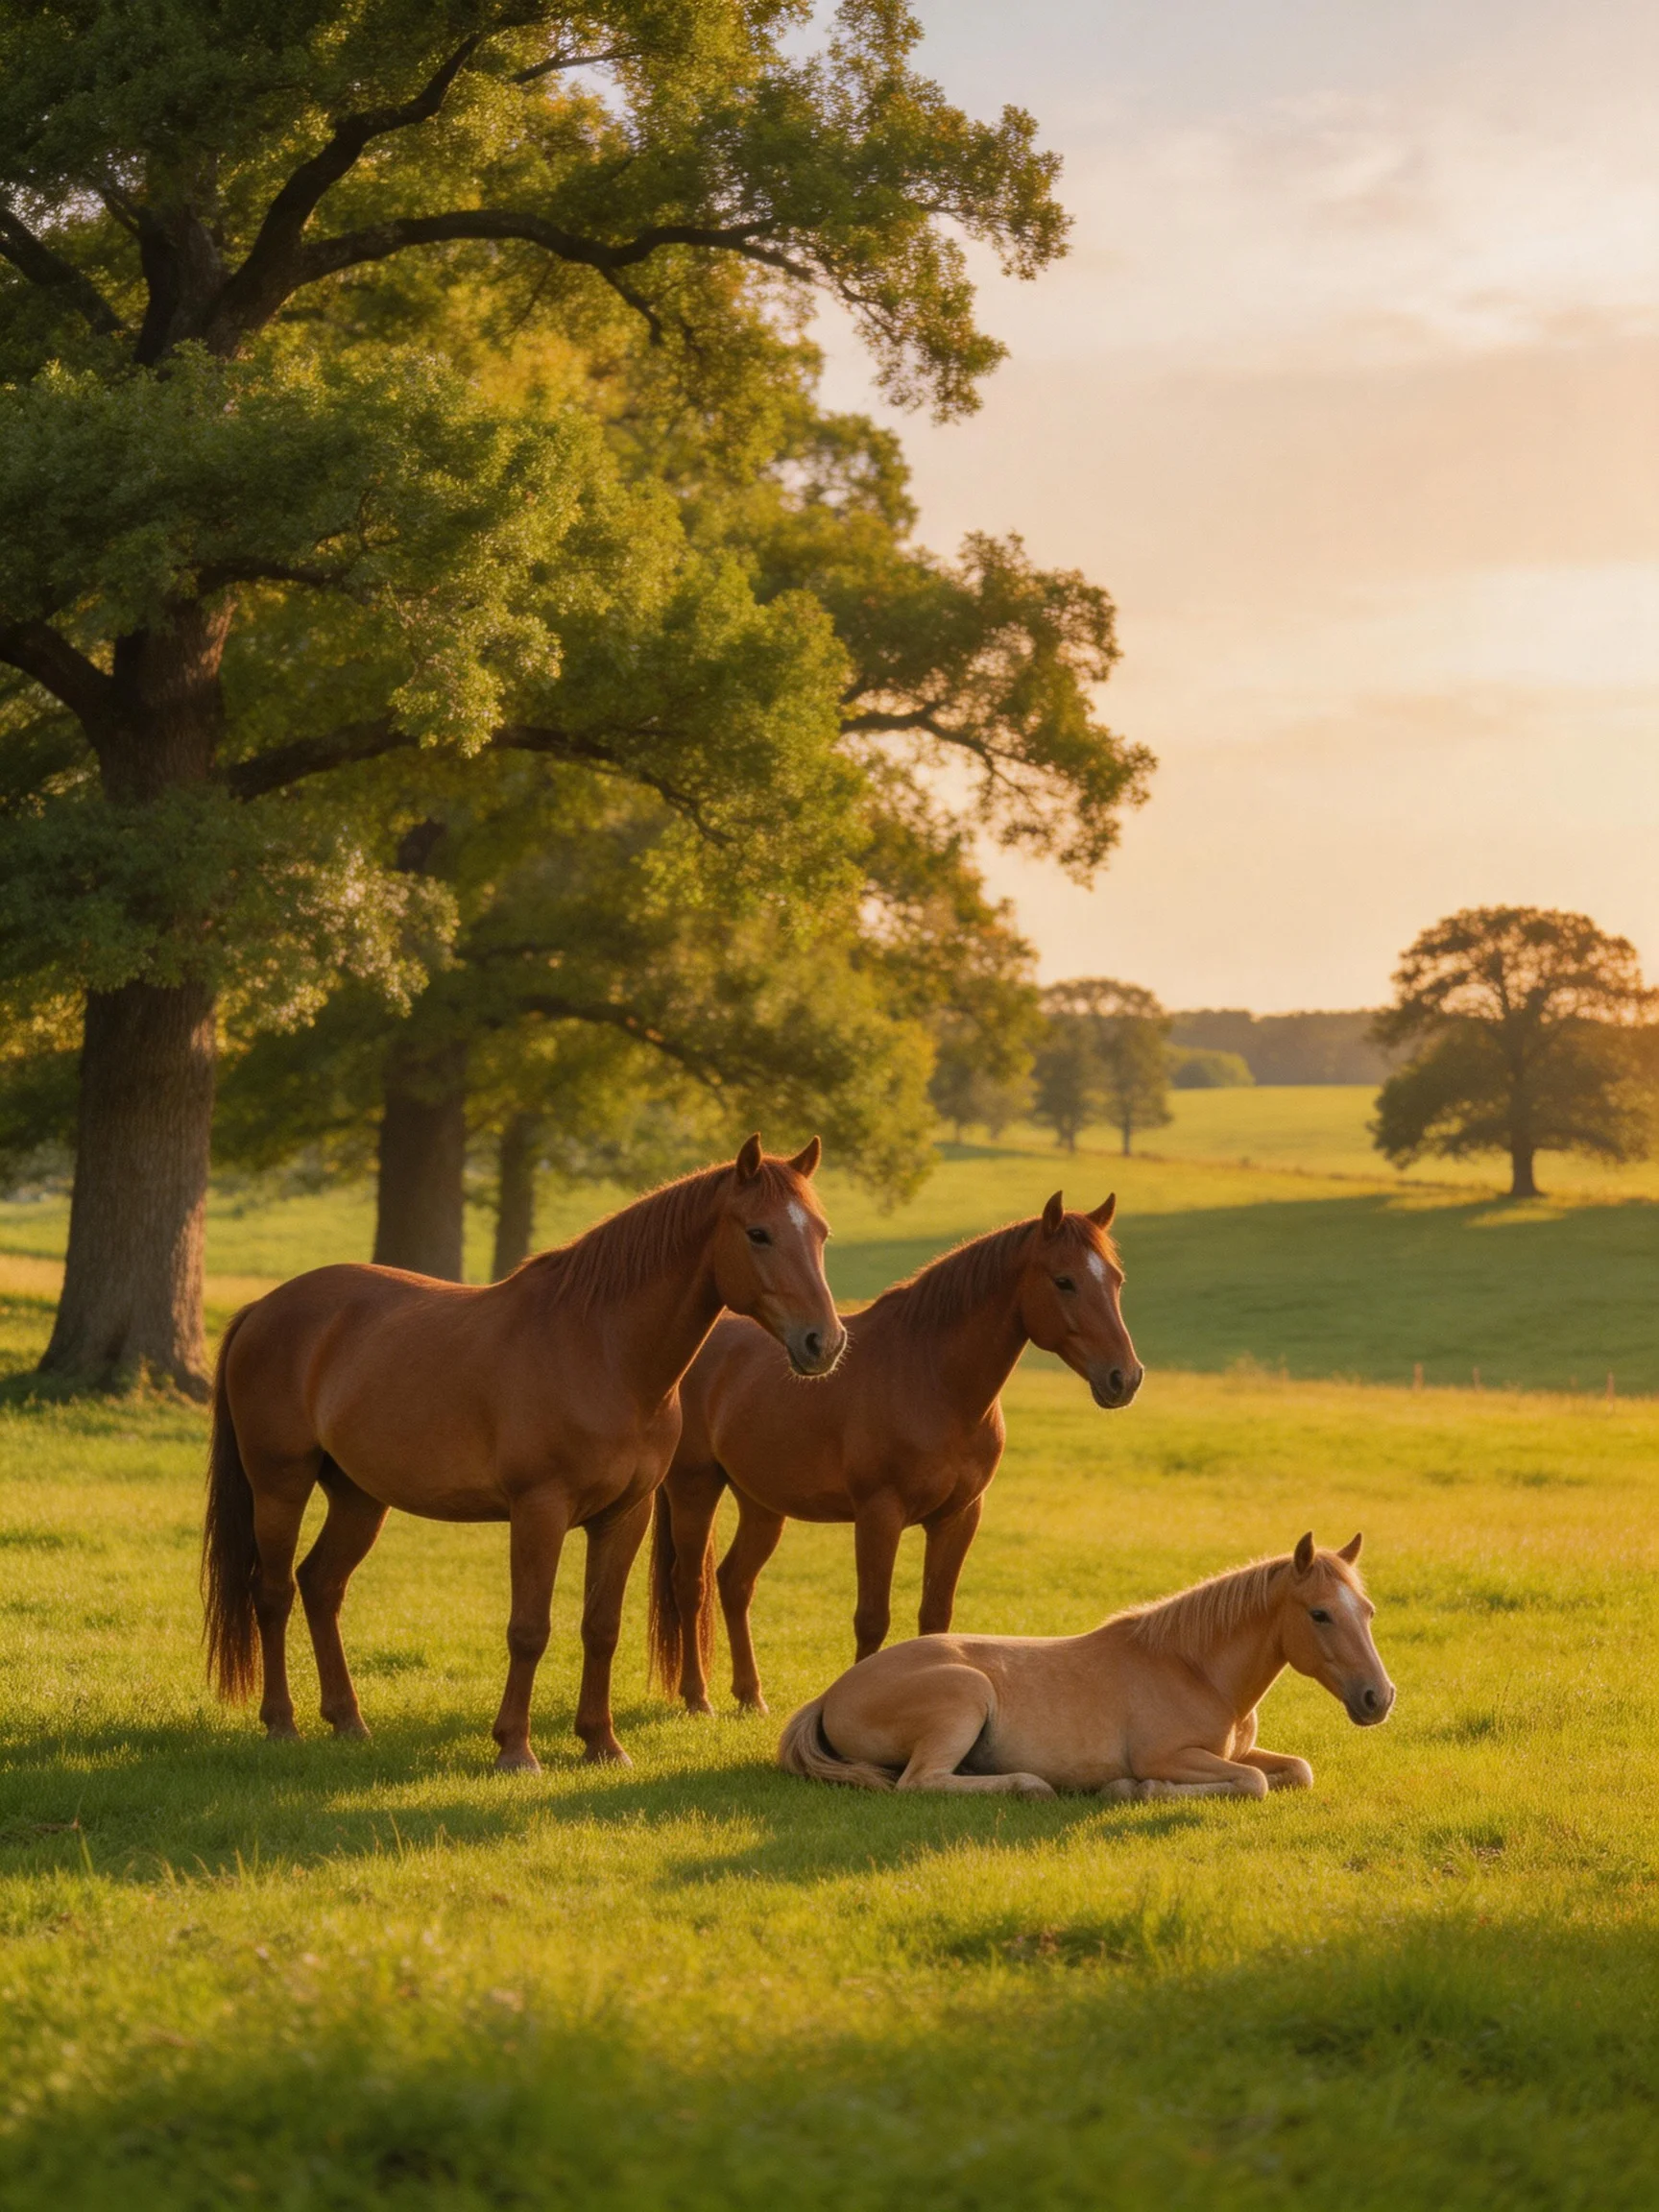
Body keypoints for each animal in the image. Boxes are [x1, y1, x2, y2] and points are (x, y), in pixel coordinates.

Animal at [202, 1135, 844, 1772]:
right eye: (758, 1233)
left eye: (820, 1233)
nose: (825, 1341)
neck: (601, 1351)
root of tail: (263, 1309)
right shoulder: (539, 1510)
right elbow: (530, 1629)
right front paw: (515, 1748)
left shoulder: (625, 1516)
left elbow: (601, 1627)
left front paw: (602, 1742)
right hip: (279, 1486)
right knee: (274, 1592)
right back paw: (282, 1723)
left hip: (359, 1499)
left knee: (321, 1585)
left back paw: (348, 1720)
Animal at [647, 1189, 1142, 1717]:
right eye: (1065, 1281)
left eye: (1116, 1280)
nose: (1125, 1377)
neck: (934, 1381)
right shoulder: (878, 1515)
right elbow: (872, 1620)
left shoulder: (958, 1517)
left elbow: (936, 1616)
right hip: (695, 1489)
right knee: (690, 1586)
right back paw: (698, 1697)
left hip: (761, 1505)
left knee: (735, 1583)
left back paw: (750, 1695)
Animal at [778, 1531, 1392, 1798]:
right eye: (1319, 1614)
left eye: (1366, 1610)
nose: (1378, 1698)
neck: (1195, 1669)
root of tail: (831, 1693)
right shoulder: (1170, 1756)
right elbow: (1252, 1782)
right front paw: (1133, 1790)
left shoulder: (1236, 1751)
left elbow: (1295, 1771)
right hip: (965, 1696)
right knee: (918, 1783)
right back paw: (1028, 1786)